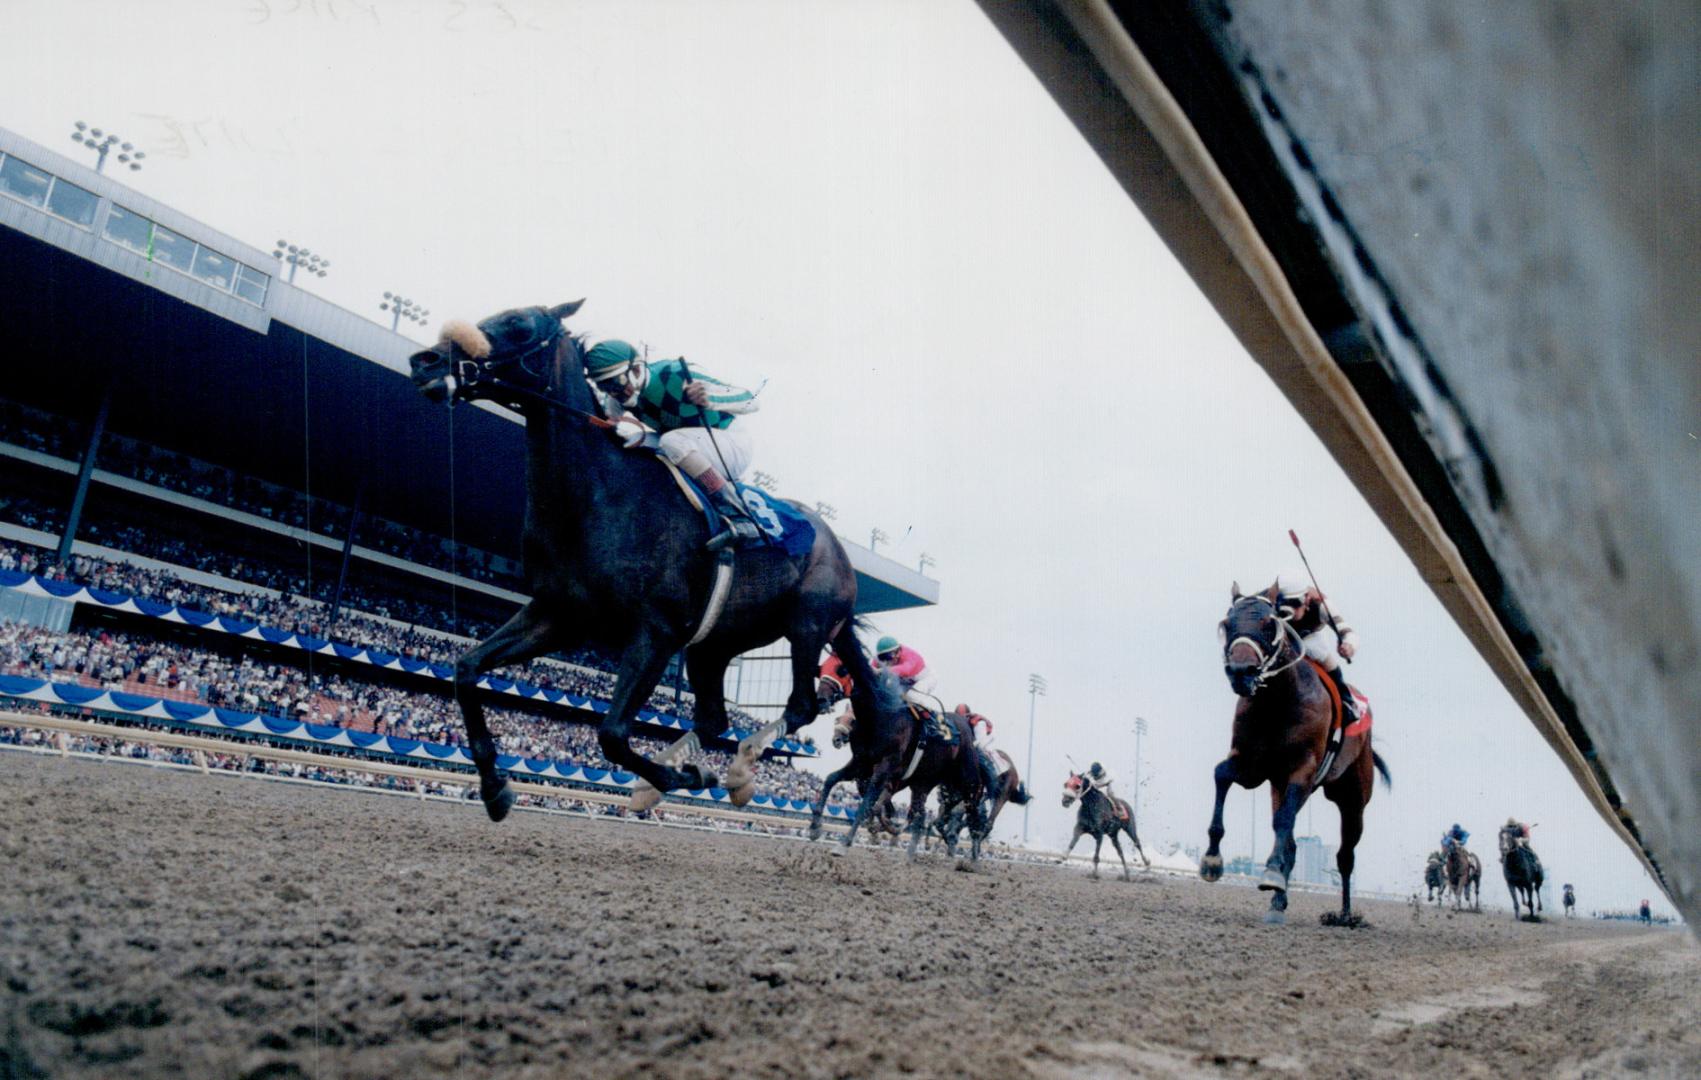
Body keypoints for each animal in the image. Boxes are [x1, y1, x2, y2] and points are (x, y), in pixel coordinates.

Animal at [409, 302, 857, 819]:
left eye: (519, 324)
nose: (424, 362)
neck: (597, 498)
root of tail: (839, 549)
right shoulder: (558, 614)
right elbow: (465, 670)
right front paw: (494, 786)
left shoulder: (655, 631)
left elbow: (612, 734)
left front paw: (685, 775)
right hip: (713, 645)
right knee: (713, 718)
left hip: (808, 623)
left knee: (800, 705)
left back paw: (740, 771)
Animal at [806, 649, 986, 860]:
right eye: (821, 668)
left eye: (841, 669)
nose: (820, 699)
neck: (879, 716)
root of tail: (965, 726)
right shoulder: (862, 763)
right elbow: (830, 779)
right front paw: (815, 828)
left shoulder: (885, 767)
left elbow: (868, 804)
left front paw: (844, 843)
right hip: (923, 783)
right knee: (920, 815)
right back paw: (911, 852)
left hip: (968, 781)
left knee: (973, 815)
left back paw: (972, 855)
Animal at [1204, 588, 1388, 925]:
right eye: (1227, 622)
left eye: (1268, 624)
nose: (1241, 671)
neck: (1278, 699)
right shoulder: (1252, 765)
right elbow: (1221, 774)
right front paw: (1212, 860)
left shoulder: (1301, 770)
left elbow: (1283, 823)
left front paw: (1271, 875)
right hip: (1284, 788)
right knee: (1290, 841)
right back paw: (1278, 904)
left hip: (1353, 800)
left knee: (1345, 856)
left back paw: (1345, 915)